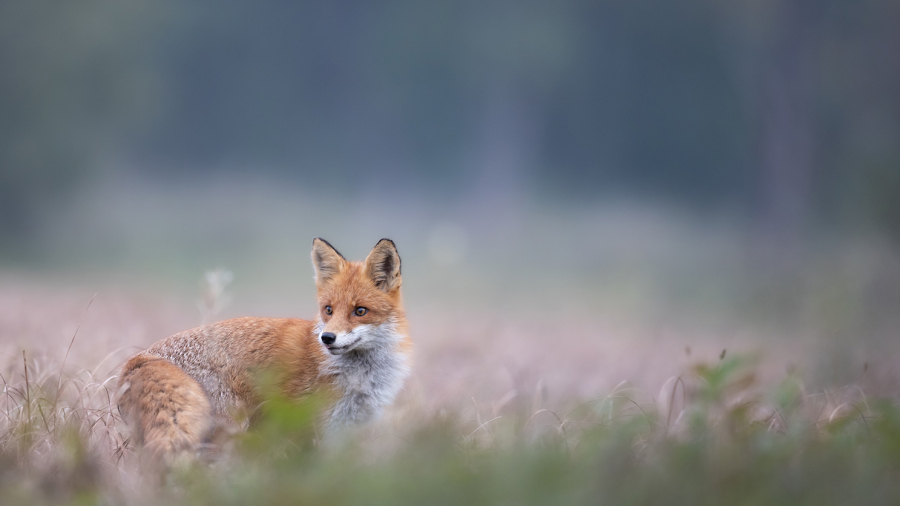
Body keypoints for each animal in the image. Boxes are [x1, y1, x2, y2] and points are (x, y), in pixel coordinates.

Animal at [117, 238, 411, 458]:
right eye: (328, 310)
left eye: (360, 311)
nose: (327, 338)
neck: (359, 378)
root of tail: (137, 360)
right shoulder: (303, 426)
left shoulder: (343, 432)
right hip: (226, 432)